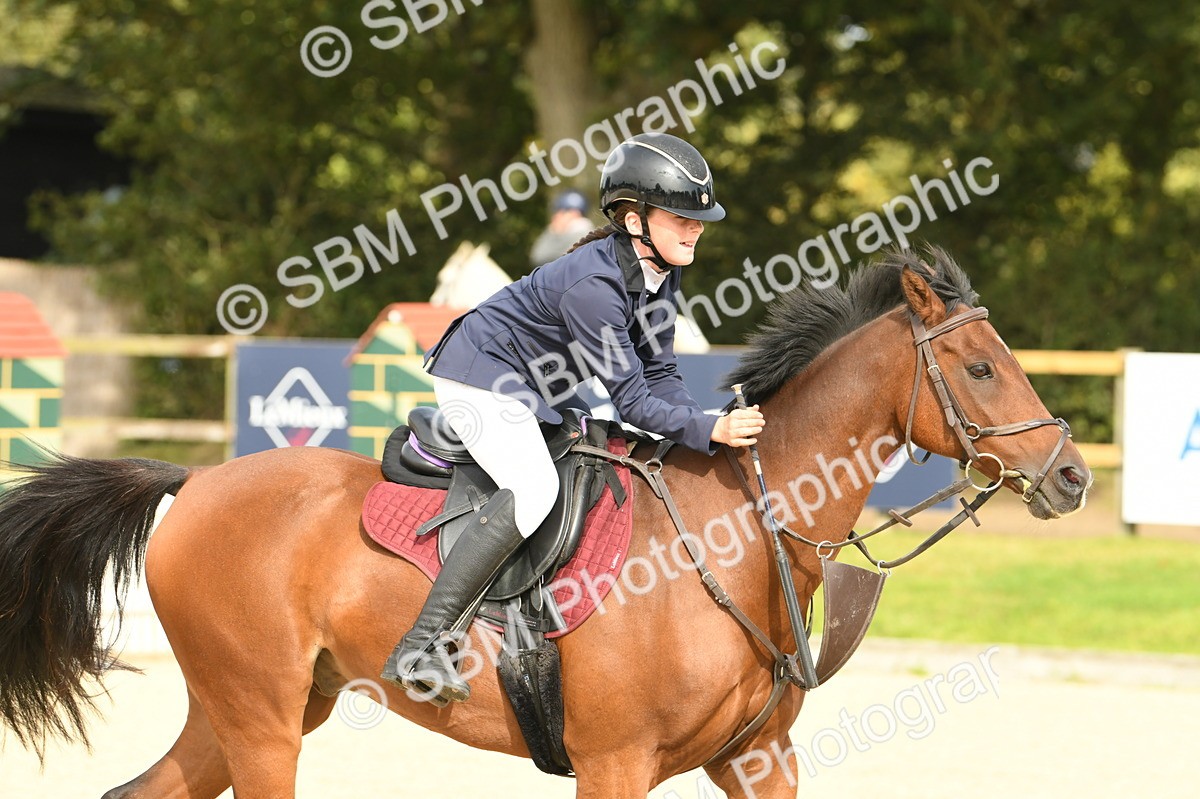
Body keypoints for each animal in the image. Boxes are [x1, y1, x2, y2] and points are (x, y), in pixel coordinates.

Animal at [0, 248, 1090, 798]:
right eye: (982, 367)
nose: (1072, 475)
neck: (744, 527)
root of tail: (197, 482)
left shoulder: (756, 759)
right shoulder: (615, 763)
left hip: (259, 703)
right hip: (263, 716)